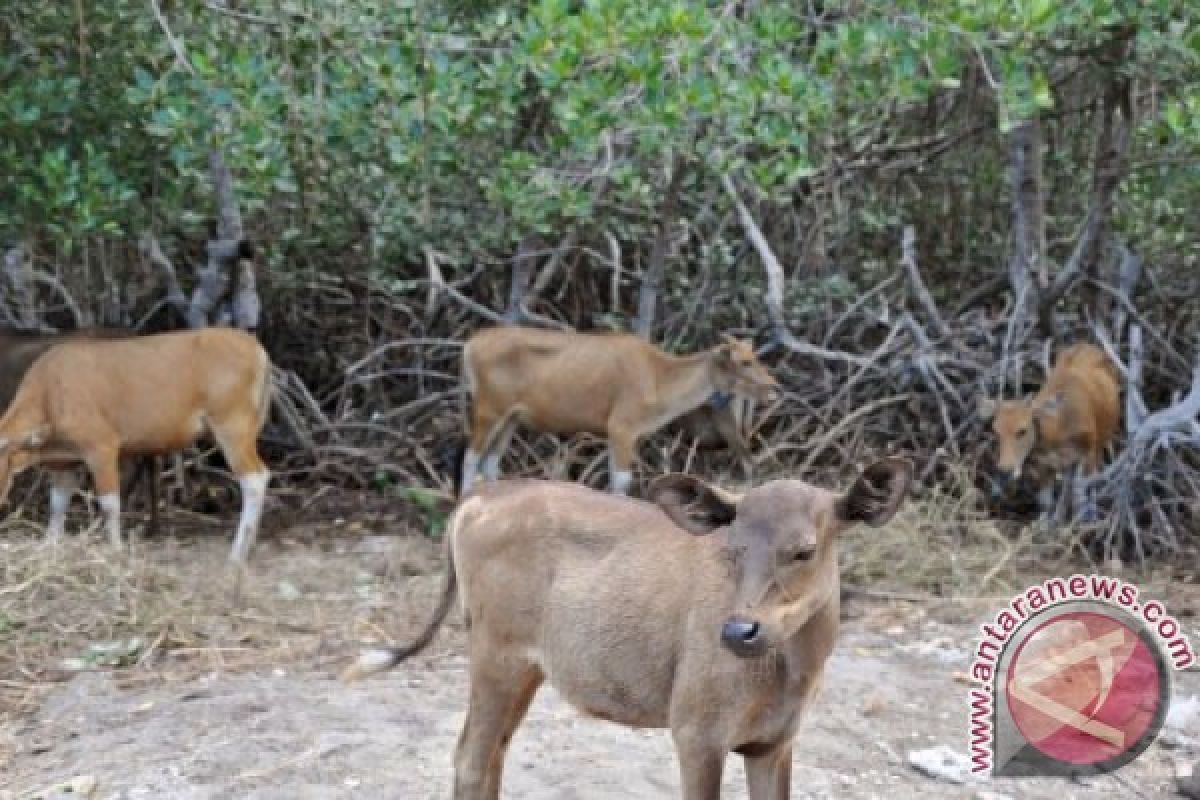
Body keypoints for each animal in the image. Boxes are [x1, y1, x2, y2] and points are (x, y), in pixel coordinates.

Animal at [343, 455, 912, 800]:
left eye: (805, 550)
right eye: (732, 548)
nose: (738, 632)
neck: (790, 673)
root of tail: (481, 496)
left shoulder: (774, 743)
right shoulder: (696, 732)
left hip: (526, 667)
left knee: (493, 755)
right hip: (494, 652)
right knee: (470, 758)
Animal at [456, 326, 777, 494]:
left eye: (756, 357)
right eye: (744, 361)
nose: (774, 388)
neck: (659, 377)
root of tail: (470, 345)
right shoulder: (621, 428)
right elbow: (622, 482)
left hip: (510, 418)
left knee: (490, 462)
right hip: (489, 409)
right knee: (470, 458)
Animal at [979, 343, 1118, 520]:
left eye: (1022, 430)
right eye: (996, 431)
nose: (1005, 469)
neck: (1058, 432)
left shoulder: (1088, 454)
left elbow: (1080, 497)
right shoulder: (1045, 465)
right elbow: (1046, 502)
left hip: (1100, 443)